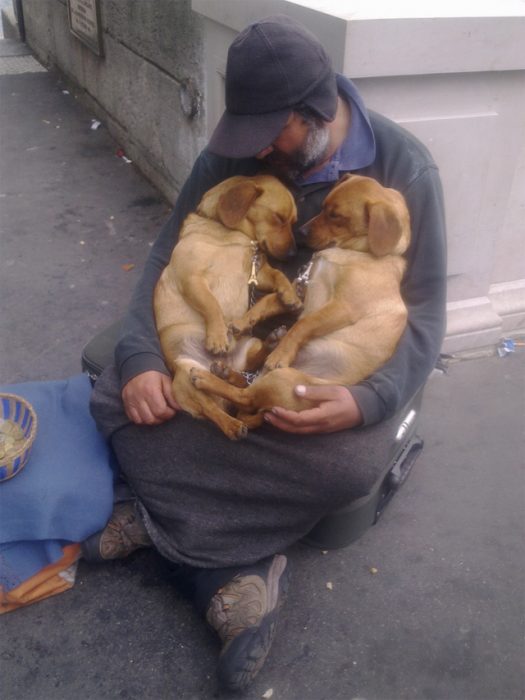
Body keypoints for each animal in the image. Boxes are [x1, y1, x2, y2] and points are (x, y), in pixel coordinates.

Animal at [154, 173, 300, 440]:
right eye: (278, 218)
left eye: (292, 222)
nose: (294, 253)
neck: (234, 237)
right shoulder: (192, 279)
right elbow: (211, 305)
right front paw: (218, 337)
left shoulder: (258, 273)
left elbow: (277, 275)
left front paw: (289, 293)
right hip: (186, 378)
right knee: (212, 409)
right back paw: (232, 424)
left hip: (250, 345)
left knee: (245, 376)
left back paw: (268, 344)